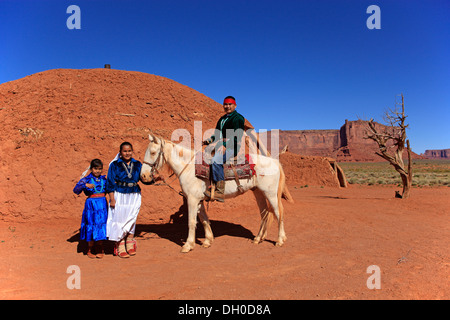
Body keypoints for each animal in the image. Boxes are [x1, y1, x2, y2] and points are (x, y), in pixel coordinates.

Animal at [141, 133, 288, 252]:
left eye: (153, 152)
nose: (144, 176)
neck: (189, 168)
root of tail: (275, 161)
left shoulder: (192, 199)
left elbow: (192, 221)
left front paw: (188, 245)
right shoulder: (198, 199)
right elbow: (204, 219)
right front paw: (207, 240)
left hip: (271, 193)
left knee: (278, 213)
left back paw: (280, 240)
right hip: (258, 192)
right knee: (264, 213)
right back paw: (258, 238)